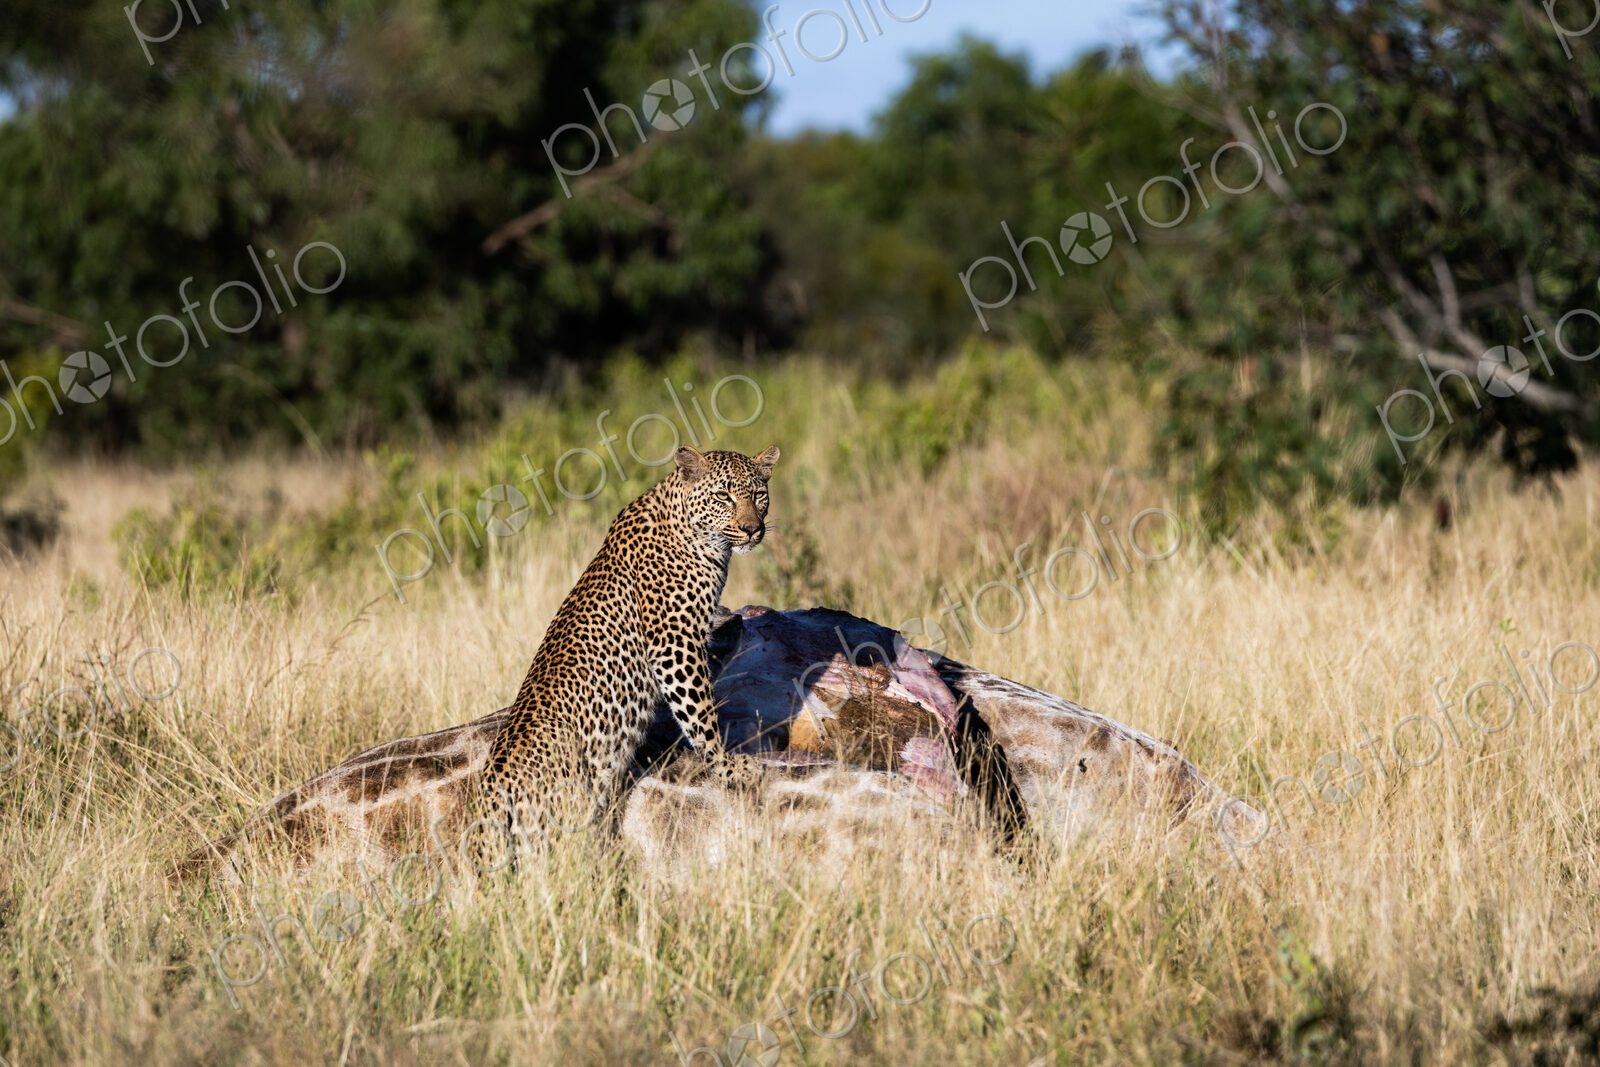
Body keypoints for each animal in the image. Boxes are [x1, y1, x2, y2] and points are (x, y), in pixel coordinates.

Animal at [472, 443, 780, 850]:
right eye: (722, 496)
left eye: (759, 495)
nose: (752, 529)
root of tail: (489, 794)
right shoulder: (674, 645)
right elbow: (701, 714)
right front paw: (727, 767)